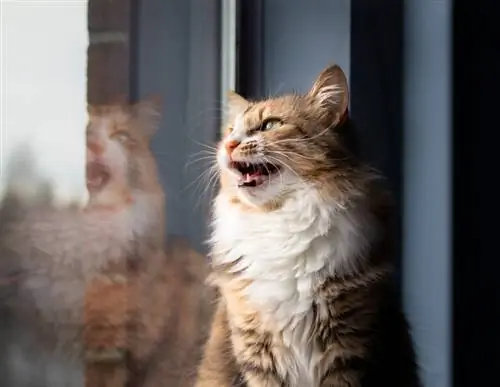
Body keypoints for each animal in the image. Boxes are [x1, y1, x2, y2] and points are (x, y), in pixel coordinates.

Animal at [195, 65, 422, 386]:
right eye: (230, 132)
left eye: (269, 125)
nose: (228, 145)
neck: (278, 221)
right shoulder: (257, 352)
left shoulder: (347, 346)